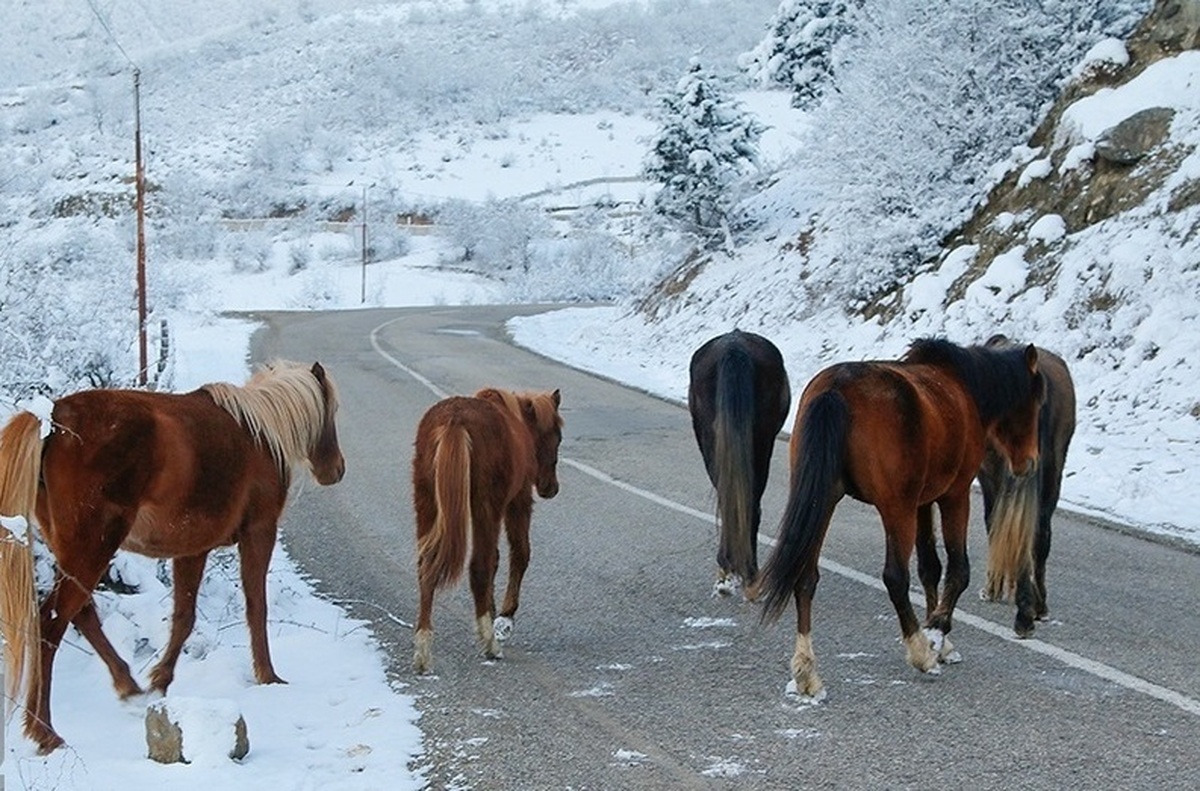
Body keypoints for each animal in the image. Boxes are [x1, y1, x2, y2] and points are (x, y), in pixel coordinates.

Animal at [1, 362, 348, 753]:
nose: (336, 469)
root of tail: (54, 417)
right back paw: (44, 731)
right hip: (92, 548)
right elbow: (256, 608)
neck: (260, 434)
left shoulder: (192, 549)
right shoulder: (259, 533)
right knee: (51, 624)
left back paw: (128, 687)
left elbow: (183, 617)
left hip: (73, 551)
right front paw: (268, 676)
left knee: (83, 615)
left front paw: (159, 682)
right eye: (332, 410)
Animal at [410, 386, 564, 672]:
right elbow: (519, 554)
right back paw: (490, 645)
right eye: (557, 437)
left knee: (426, 567)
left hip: (427, 501)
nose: (551, 487)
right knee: (479, 566)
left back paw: (423, 650)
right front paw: (503, 618)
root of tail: (455, 422)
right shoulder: (518, 501)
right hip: (486, 505)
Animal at [758, 338, 1051, 696]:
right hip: (896, 509)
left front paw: (943, 642)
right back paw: (919, 651)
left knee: (805, 578)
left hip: (823, 501)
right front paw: (936, 633)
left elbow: (930, 569)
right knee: (895, 577)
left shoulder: (922, 503)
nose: (1030, 463)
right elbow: (958, 570)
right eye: (1035, 401)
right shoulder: (954, 496)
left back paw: (806, 670)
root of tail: (836, 388)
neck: (962, 386)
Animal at [974, 333, 1080, 638]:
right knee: (1040, 532)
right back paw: (1038, 605)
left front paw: (994, 587)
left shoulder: (989, 476)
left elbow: (994, 523)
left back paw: (1024, 614)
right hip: (1053, 469)